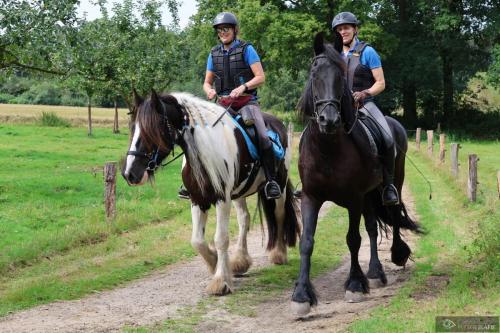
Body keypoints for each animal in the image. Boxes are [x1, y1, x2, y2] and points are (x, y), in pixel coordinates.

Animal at [292, 32, 420, 316]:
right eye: (314, 74)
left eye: (340, 77)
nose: (329, 120)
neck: (328, 148)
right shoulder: (311, 197)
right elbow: (307, 242)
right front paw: (301, 296)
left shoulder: (353, 199)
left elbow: (352, 239)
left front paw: (354, 285)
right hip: (369, 195)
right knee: (373, 227)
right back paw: (374, 272)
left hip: (390, 185)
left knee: (393, 215)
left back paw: (396, 255)